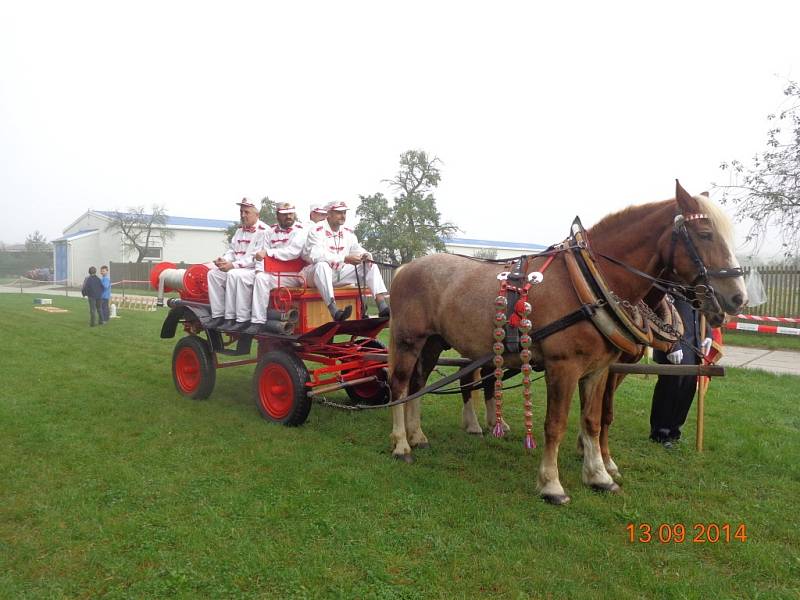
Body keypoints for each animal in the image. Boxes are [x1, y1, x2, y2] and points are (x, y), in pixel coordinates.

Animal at [384, 180, 748, 504]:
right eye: (705, 234)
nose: (737, 297)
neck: (589, 283)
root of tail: (404, 268)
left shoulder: (598, 370)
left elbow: (593, 420)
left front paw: (599, 475)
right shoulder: (564, 367)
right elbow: (555, 424)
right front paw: (551, 484)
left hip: (432, 342)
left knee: (419, 383)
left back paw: (418, 436)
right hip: (407, 340)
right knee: (400, 386)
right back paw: (402, 444)